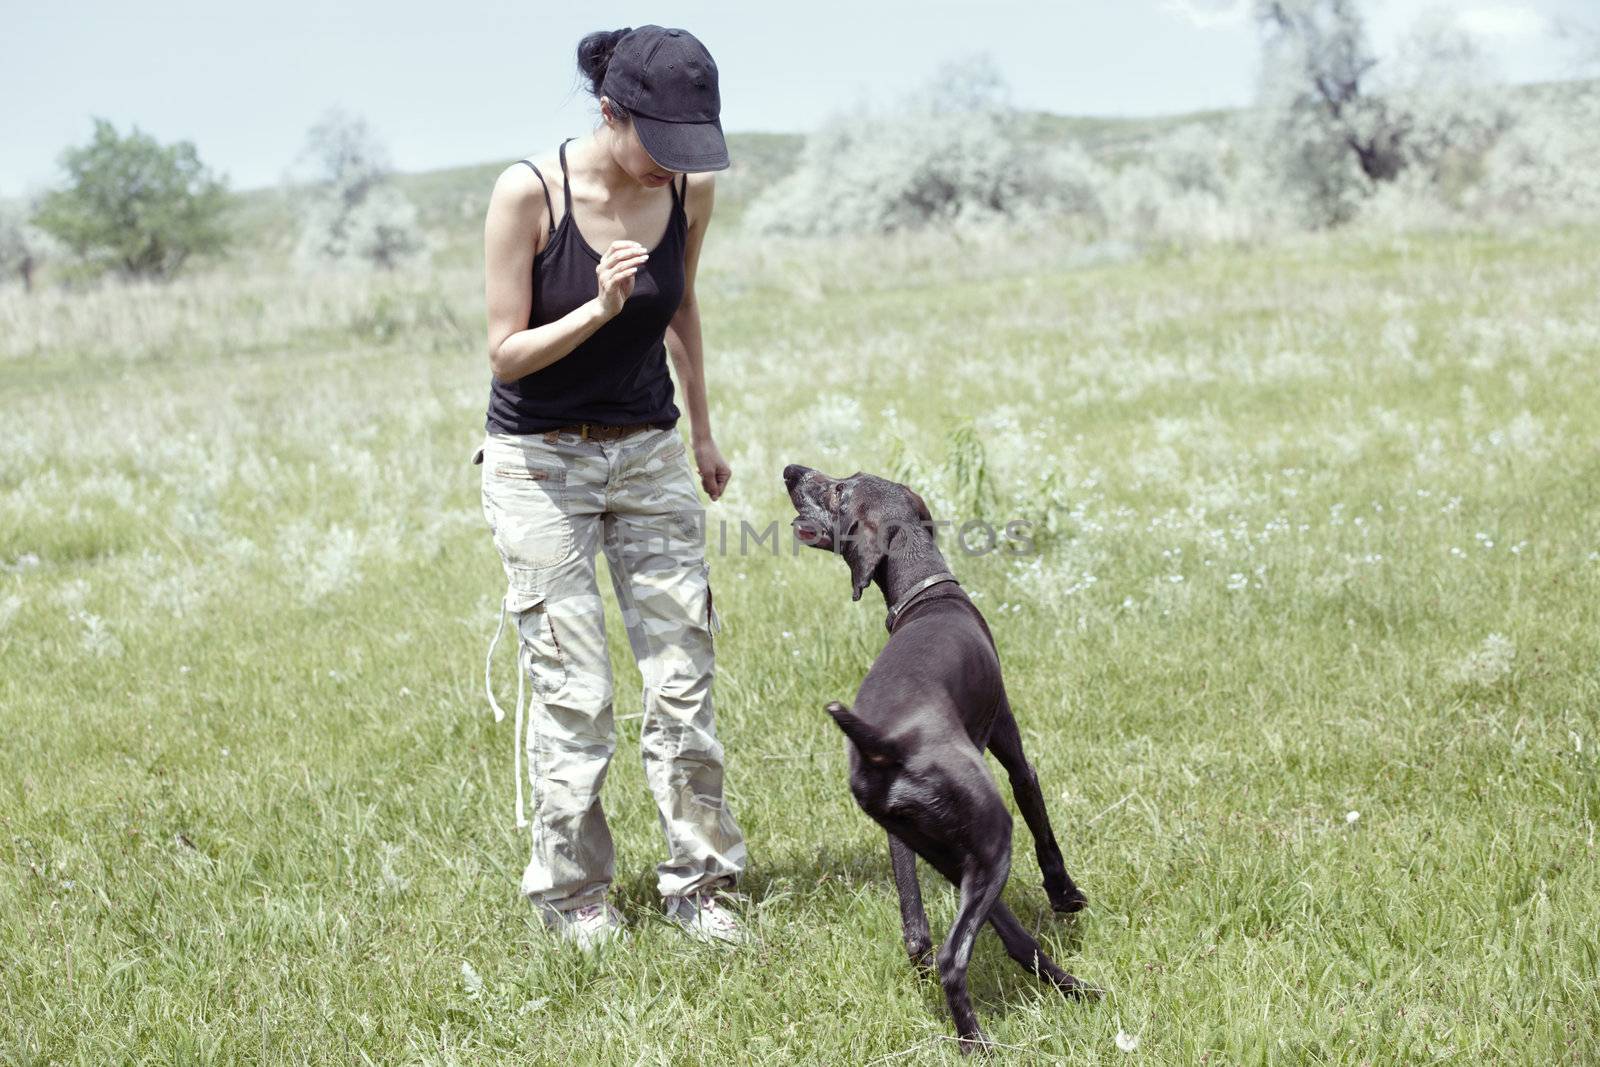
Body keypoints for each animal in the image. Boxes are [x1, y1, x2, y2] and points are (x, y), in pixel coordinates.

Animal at [780, 463, 1094, 1049]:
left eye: (841, 487)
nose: (790, 470)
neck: (928, 593)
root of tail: (893, 741)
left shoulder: (902, 840)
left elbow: (913, 926)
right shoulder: (1015, 754)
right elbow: (1043, 825)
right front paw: (1065, 895)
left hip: (958, 856)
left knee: (1000, 940)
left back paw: (1070, 988)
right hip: (994, 841)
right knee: (955, 957)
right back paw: (980, 1042)